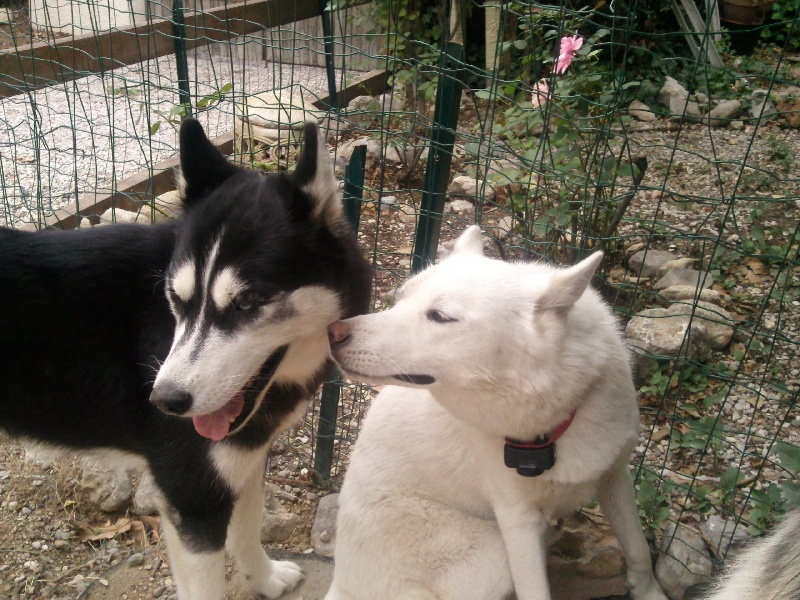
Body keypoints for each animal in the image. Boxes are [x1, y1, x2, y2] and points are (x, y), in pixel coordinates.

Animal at [0, 118, 371, 599]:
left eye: (248, 302)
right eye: (176, 298)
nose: (166, 401)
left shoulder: (245, 460)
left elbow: (248, 527)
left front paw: (264, 578)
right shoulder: (192, 500)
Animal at [325, 225, 667, 600]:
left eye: (440, 316)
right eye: (400, 299)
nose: (333, 333)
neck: (551, 427)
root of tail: (341, 581)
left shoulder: (615, 475)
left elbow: (638, 548)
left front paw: (649, 592)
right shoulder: (517, 520)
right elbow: (535, 590)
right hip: (495, 553)